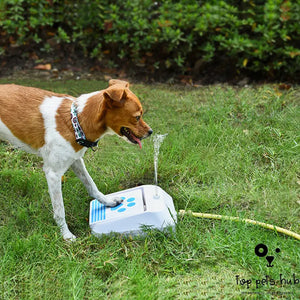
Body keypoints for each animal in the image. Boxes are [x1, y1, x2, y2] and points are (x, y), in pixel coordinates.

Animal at [0, 79, 152, 239]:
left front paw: (108, 202)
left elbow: (91, 185)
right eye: (137, 117)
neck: (75, 122)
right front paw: (66, 235)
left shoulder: (76, 161)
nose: (151, 132)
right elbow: (60, 210)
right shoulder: (53, 174)